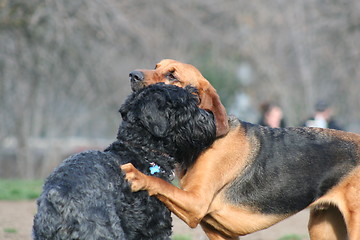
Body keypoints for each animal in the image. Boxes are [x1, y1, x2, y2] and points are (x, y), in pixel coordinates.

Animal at [121, 59, 360, 239]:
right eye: (156, 66)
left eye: (172, 76)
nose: (133, 75)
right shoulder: (218, 232)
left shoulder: (195, 203)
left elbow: (161, 183)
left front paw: (137, 175)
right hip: (323, 226)